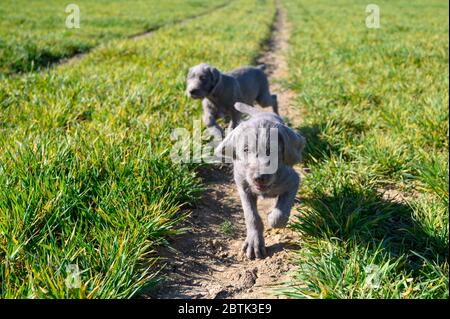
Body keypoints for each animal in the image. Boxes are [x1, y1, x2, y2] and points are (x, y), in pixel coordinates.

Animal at [214, 102, 306, 260]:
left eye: (273, 150)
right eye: (245, 149)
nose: (260, 177)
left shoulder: (293, 180)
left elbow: (280, 214)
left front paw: (272, 217)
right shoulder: (242, 185)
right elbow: (251, 216)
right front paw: (254, 243)